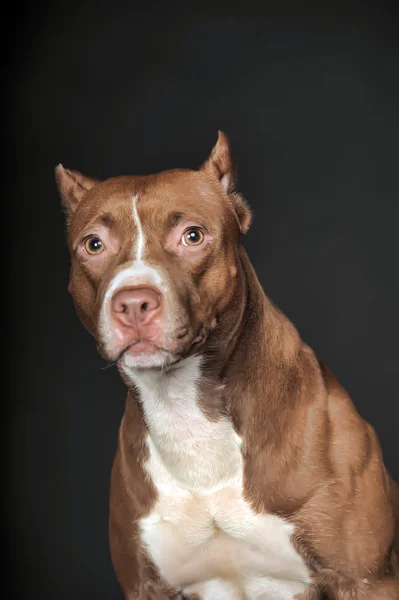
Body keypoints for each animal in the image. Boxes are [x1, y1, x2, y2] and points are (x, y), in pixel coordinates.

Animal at [57, 132, 399, 600]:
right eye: (93, 244)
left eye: (193, 236)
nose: (133, 302)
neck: (187, 414)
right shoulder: (146, 586)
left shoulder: (365, 579)